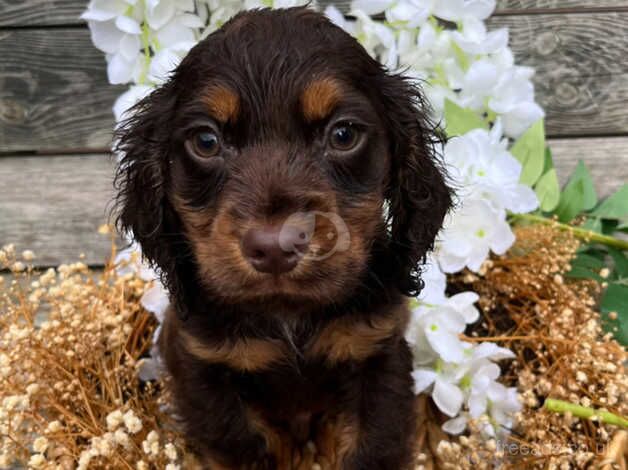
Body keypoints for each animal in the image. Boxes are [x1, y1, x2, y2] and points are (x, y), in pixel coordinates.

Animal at [115, 5, 452, 468]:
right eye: (206, 140)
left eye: (343, 134)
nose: (275, 247)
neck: (288, 313)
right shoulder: (206, 369)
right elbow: (244, 445)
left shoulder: (377, 353)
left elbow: (374, 447)